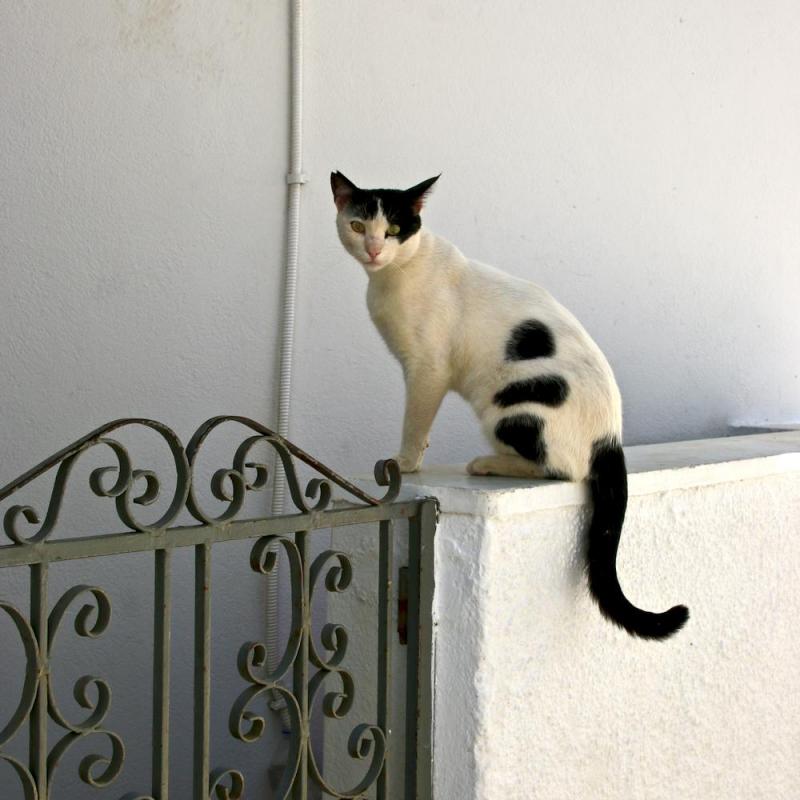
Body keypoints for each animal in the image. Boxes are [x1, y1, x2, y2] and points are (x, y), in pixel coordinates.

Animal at [332, 172, 688, 640]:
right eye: (358, 226)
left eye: (392, 230)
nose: (373, 248)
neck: (393, 275)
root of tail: (611, 436)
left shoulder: (427, 370)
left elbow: (415, 423)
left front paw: (405, 463)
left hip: (509, 407)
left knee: (561, 469)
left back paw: (487, 462)